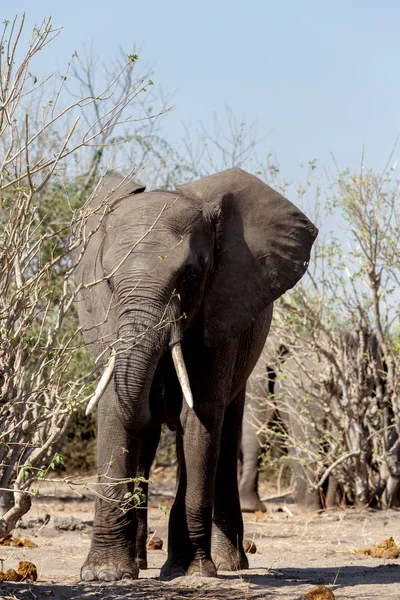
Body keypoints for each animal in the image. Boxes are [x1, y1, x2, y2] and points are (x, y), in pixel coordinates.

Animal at [71, 166, 316, 580]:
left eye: (190, 275)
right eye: (108, 278)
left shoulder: (224, 305)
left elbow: (198, 417)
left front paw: (191, 573)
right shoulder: (103, 318)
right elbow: (114, 408)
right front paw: (105, 574)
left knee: (225, 434)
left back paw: (229, 563)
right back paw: (141, 561)